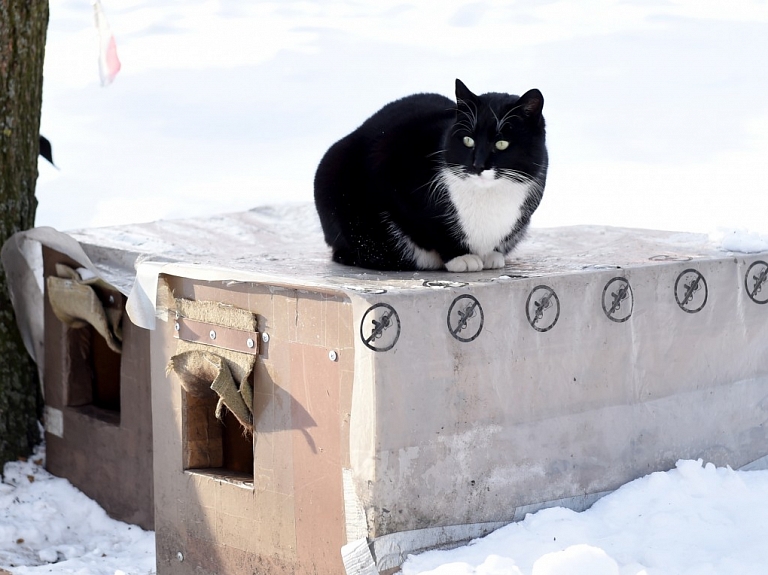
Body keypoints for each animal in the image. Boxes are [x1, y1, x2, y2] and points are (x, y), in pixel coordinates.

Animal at [312, 78, 544, 272]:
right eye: (468, 140)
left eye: (502, 143)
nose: (478, 165)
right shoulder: (396, 177)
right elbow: (431, 226)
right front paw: (460, 257)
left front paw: (491, 254)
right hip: (330, 171)